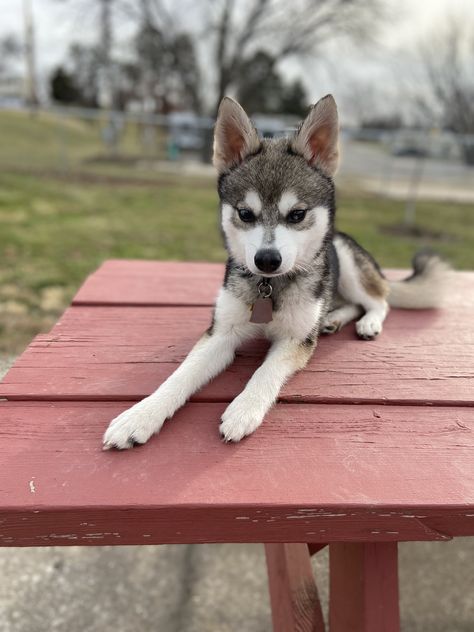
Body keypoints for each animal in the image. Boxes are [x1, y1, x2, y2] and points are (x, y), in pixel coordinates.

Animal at [103, 95, 448, 450]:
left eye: (297, 214)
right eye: (245, 213)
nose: (267, 259)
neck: (270, 287)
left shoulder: (296, 340)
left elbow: (265, 371)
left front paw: (244, 409)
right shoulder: (221, 333)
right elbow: (181, 374)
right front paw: (141, 414)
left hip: (348, 261)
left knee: (379, 301)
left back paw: (367, 322)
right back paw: (333, 319)